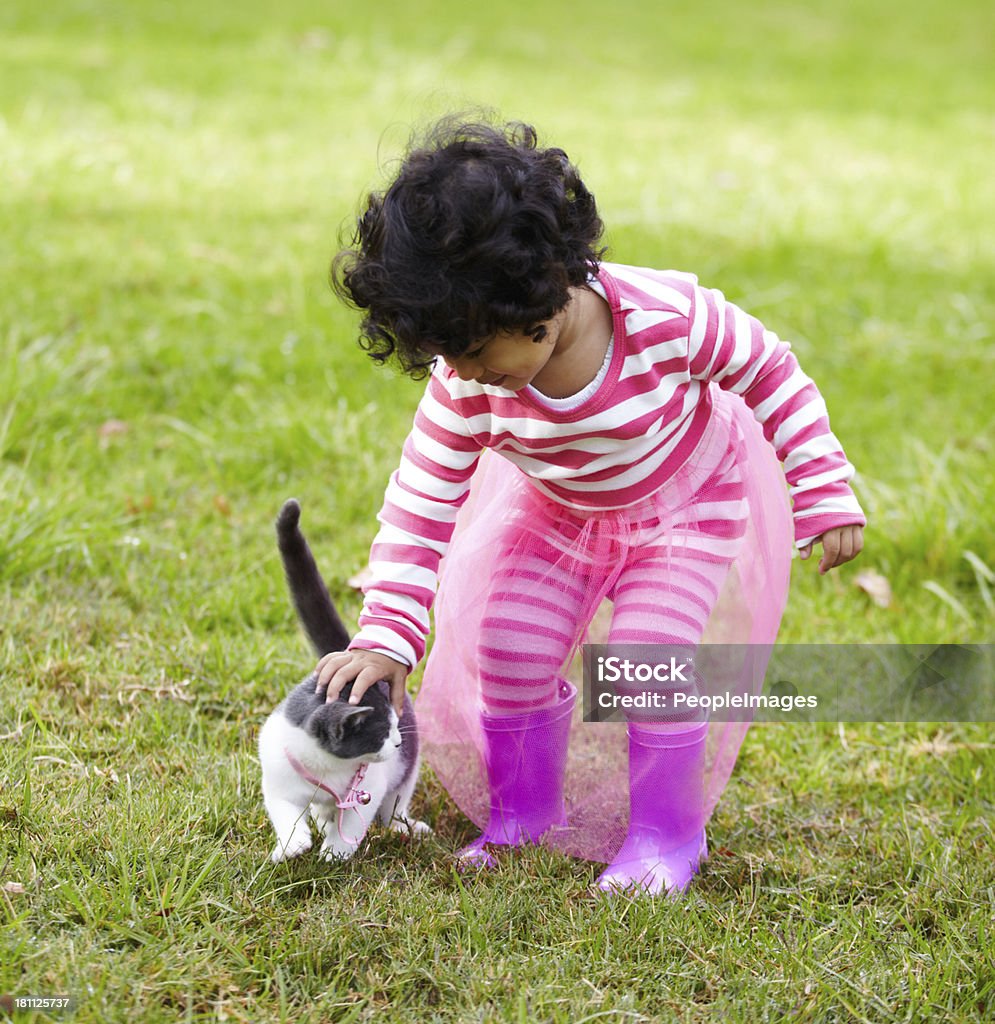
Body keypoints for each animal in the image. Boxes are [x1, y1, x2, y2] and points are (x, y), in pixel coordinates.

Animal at [256, 497, 427, 864]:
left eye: (395, 727)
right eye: (381, 733)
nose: (397, 743)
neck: (326, 769)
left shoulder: (368, 788)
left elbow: (352, 821)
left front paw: (334, 852)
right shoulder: (278, 776)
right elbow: (283, 811)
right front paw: (292, 844)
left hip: (407, 768)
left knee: (395, 803)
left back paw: (405, 826)